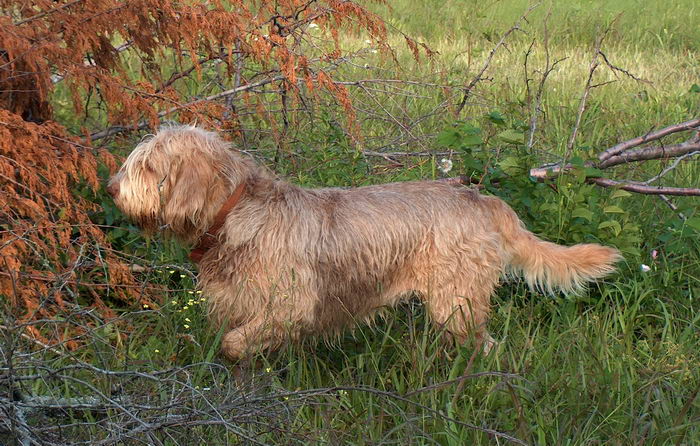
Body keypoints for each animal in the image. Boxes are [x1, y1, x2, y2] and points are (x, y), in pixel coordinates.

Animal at [106, 125, 620, 358]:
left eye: (147, 166)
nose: (110, 189)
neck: (235, 215)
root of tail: (479, 197)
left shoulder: (288, 307)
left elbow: (235, 344)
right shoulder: (236, 306)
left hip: (456, 303)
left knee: (484, 346)